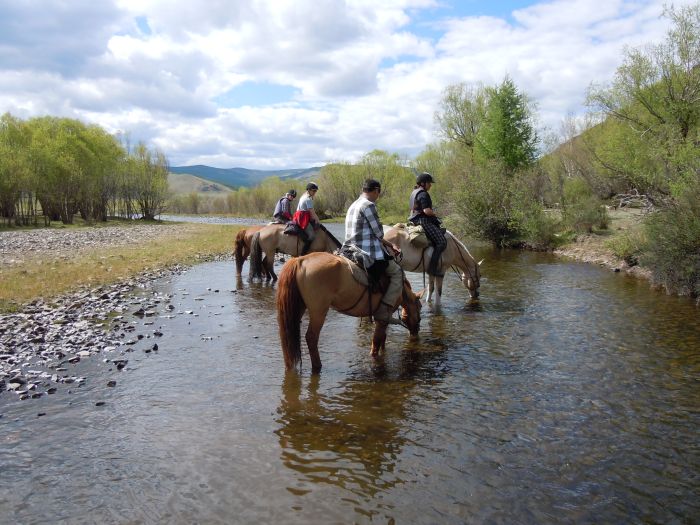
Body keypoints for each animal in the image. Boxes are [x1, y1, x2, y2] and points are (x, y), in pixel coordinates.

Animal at [276, 252, 424, 370]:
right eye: (420, 309)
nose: (416, 333)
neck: (401, 291)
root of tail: (300, 260)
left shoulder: (382, 318)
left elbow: (382, 339)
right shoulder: (383, 317)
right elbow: (377, 341)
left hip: (299, 308)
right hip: (318, 311)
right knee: (311, 337)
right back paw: (317, 366)